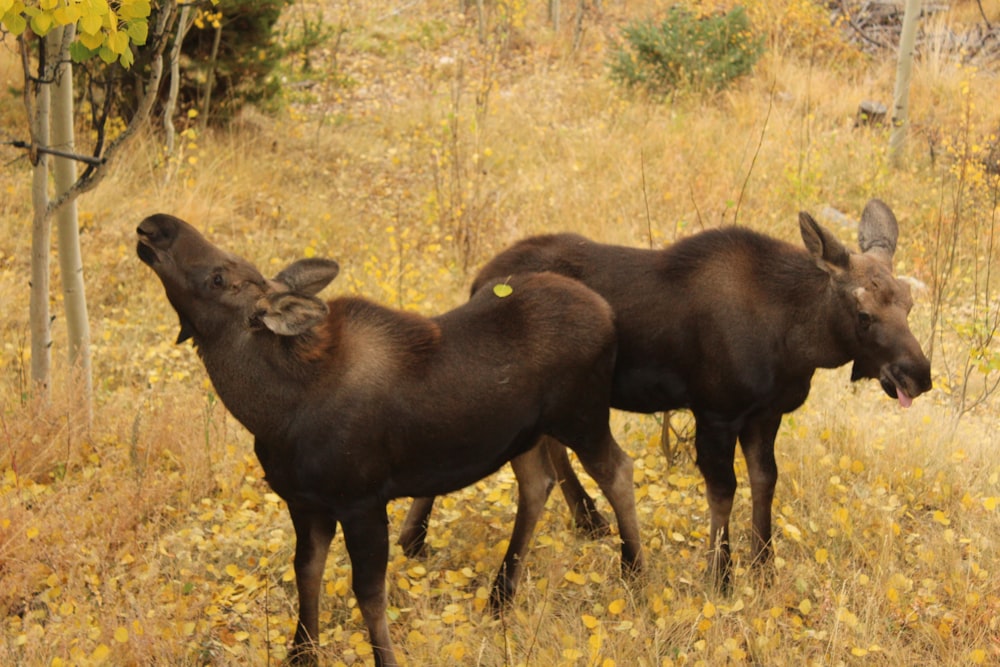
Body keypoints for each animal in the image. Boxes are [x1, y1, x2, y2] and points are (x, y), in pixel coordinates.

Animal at [137, 215, 644, 667]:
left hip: (582, 416)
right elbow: (307, 574)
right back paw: (502, 596)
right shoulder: (304, 503)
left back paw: (634, 572)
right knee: (538, 484)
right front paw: (301, 653)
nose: (155, 226)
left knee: (618, 470)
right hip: (526, 436)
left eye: (219, 277)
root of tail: (606, 311)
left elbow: (369, 593)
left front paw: (382, 658)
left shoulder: (362, 501)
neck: (273, 413)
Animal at [402, 198, 932, 588]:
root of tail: (477, 280)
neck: (795, 339)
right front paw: (722, 576)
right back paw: (416, 537)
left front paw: (763, 563)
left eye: (908, 304)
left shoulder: (766, 414)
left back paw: (586, 518)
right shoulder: (715, 411)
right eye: (864, 314)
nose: (918, 375)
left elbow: (765, 481)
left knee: (550, 444)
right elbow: (724, 491)